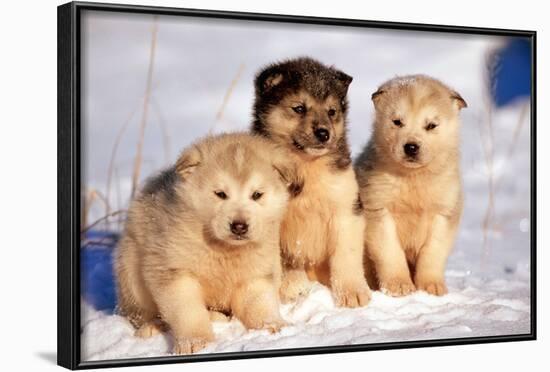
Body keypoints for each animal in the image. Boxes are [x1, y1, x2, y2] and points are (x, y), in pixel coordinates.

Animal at [114, 132, 300, 354]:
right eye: (220, 194)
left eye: (257, 195)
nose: (239, 226)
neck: (224, 250)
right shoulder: (174, 269)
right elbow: (187, 311)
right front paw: (197, 342)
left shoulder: (256, 273)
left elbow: (260, 303)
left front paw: (273, 327)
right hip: (131, 272)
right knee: (139, 314)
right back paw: (153, 327)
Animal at [253, 57, 374, 308]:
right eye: (299, 108)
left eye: (332, 111)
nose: (323, 133)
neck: (306, 166)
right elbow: (283, 259)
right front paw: (293, 286)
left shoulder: (346, 208)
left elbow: (346, 255)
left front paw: (353, 293)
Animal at [356, 75, 468, 296]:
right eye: (397, 122)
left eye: (431, 125)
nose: (411, 147)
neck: (413, 178)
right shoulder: (378, 208)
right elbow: (390, 251)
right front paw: (398, 286)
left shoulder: (444, 212)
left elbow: (433, 252)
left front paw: (431, 286)